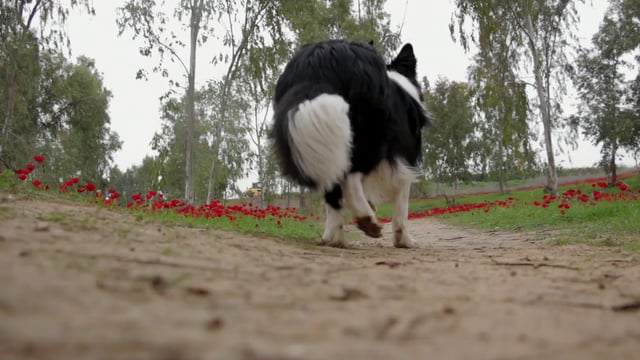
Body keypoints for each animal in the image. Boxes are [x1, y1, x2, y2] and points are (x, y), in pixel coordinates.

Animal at [270, 39, 430, 248]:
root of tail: (321, 60)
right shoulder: (405, 158)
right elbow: (402, 201)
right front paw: (404, 240)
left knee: (333, 183)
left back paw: (335, 238)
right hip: (370, 138)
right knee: (351, 178)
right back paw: (366, 219)